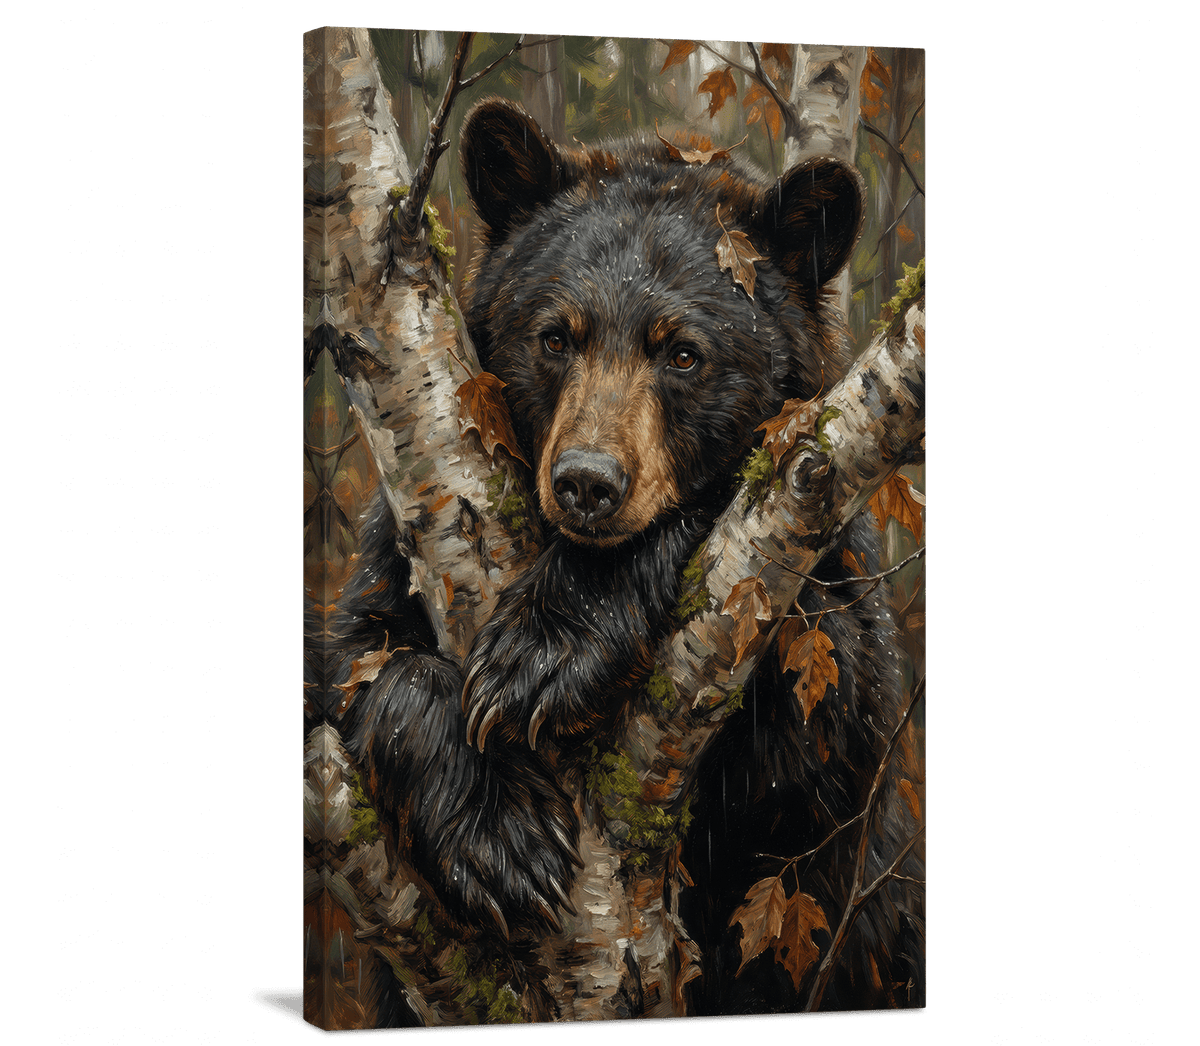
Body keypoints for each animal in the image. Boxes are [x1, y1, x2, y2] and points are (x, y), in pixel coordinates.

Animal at [325, 98, 925, 1017]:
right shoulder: (393, 553)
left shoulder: (828, 584)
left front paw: (545, 650)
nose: (586, 482)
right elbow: (360, 662)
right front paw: (504, 839)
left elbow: (815, 731)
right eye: (554, 338)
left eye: (682, 352)